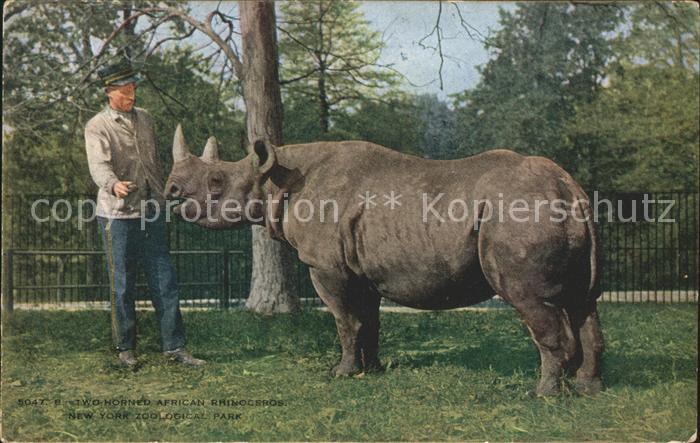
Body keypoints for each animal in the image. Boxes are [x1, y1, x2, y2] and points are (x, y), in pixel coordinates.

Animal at [164, 125, 604, 397]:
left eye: (216, 182)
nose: (170, 191)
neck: (277, 177)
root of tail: (570, 188)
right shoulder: (362, 268)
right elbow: (368, 321)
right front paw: (371, 371)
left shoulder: (326, 267)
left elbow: (345, 321)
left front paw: (340, 373)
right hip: (551, 210)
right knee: (583, 303)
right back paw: (587, 389)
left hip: (518, 213)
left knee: (531, 300)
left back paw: (542, 394)